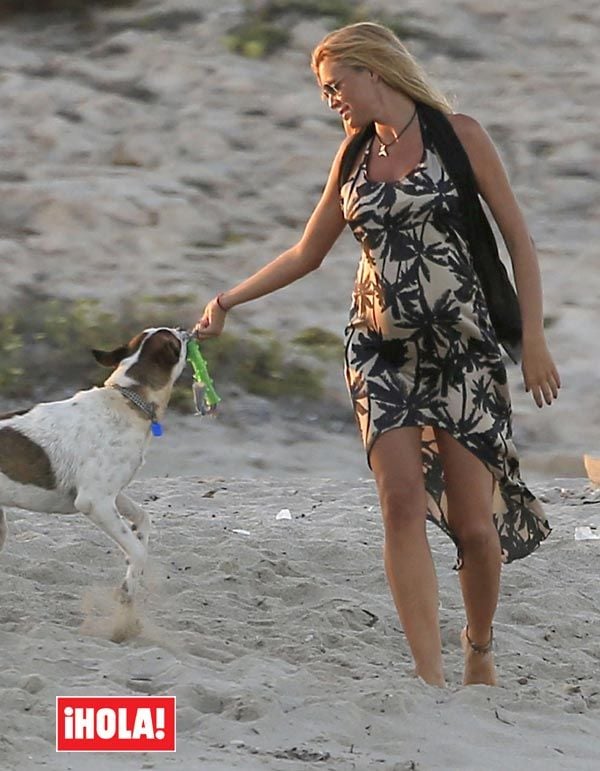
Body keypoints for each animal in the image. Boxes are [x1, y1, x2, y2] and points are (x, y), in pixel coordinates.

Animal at [0, 326, 189, 608]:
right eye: (176, 341)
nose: (184, 330)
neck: (128, 399)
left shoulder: (113, 494)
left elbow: (142, 521)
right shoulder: (96, 502)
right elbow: (137, 552)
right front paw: (126, 593)